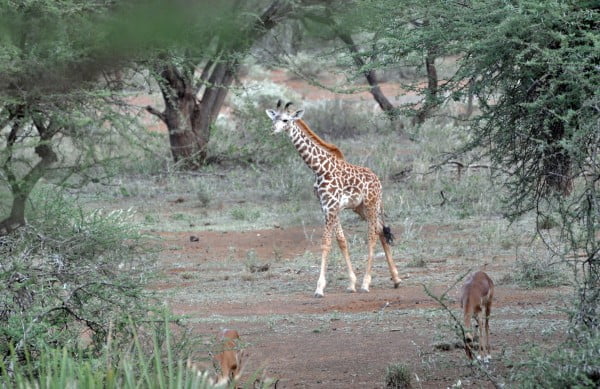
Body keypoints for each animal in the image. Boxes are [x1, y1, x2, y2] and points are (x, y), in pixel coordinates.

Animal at [264, 101, 400, 298]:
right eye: (273, 118)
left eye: (286, 120)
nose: (273, 130)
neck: (319, 168)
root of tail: (378, 181)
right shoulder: (327, 207)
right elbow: (341, 241)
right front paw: (351, 283)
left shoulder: (331, 207)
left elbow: (326, 243)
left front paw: (320, 288)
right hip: (360, 208)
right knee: (382, 231)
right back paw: (396, 279)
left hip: (371, 205)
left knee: (373, 235)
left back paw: (366, 283)